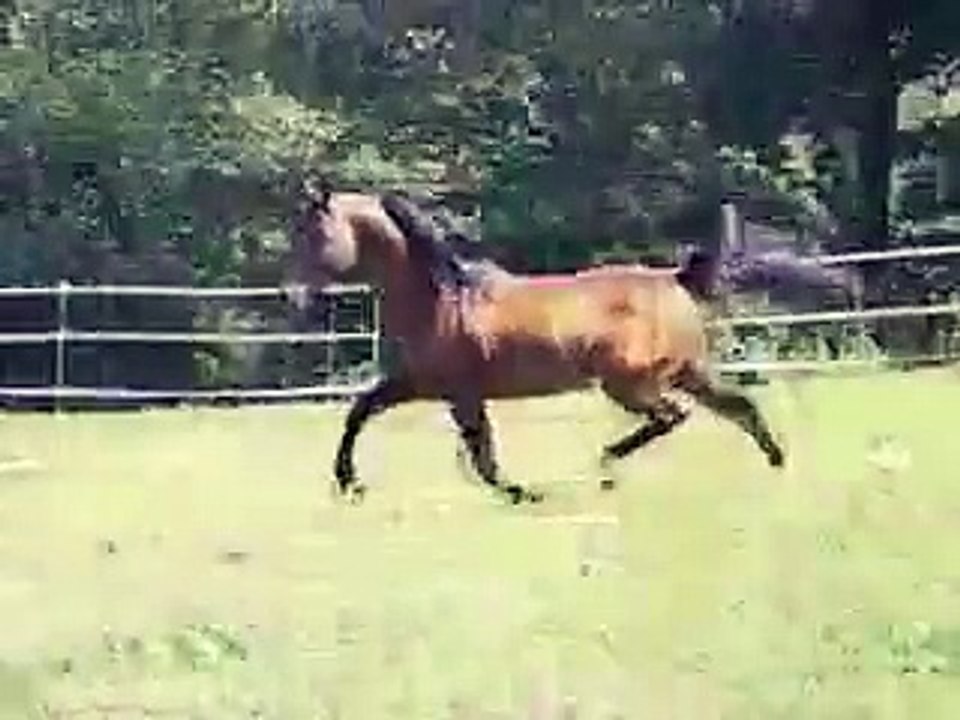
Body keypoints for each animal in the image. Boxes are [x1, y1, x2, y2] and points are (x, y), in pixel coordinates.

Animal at [287, 181, 787, 504]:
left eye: (316, 234)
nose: (293, 294)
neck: (440, 300)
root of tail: (676, 279)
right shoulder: (416, 383)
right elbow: (360, 411)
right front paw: (349, 483)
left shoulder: (456, 392)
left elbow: (484, 458)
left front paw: (525, 494)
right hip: (688, 372)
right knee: (740, 406)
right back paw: (778, 469)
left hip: (631, 383)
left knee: (673, 416)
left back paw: (605, 464)